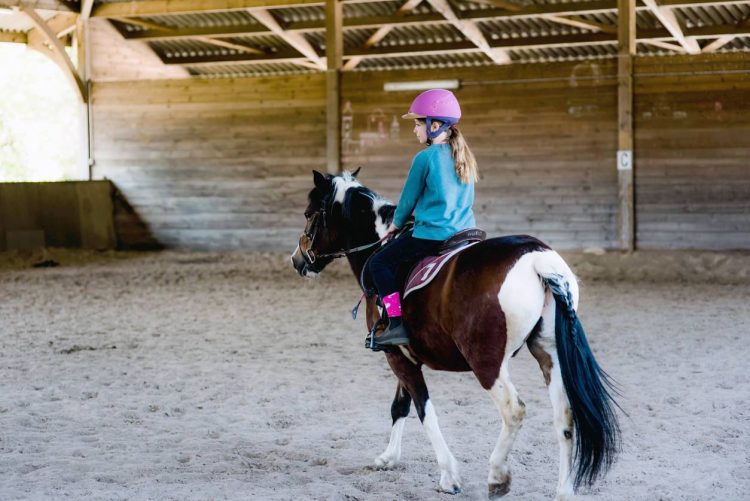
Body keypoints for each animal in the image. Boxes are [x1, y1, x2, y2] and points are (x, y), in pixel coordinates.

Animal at [290, 170, 620, 498]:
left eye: (309, 214)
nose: (297, 259)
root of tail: (536, 258)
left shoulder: (396, 356)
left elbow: (424, 410)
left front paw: (449, 475)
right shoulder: (405, 357)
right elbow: (400, 405)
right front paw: (388, 457)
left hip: (487, 364)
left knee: (514, 411)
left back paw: (497, 476)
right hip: (549, 355)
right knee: (565, 417)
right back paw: (563, 491)